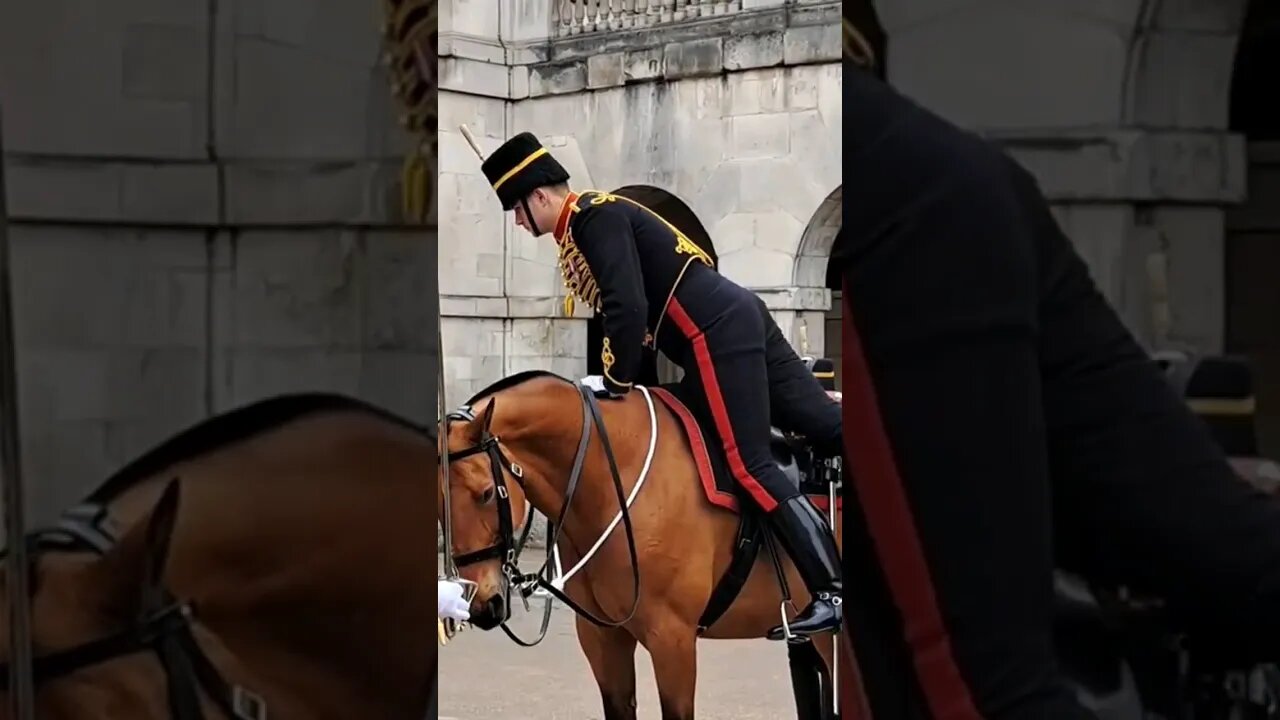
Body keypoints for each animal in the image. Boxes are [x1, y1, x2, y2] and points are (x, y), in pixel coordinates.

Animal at [440, 368, 860, 717]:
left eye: (486, 494)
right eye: (439, 504)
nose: (482, 606)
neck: (609, 478)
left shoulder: (672, 639)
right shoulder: (603, 637)